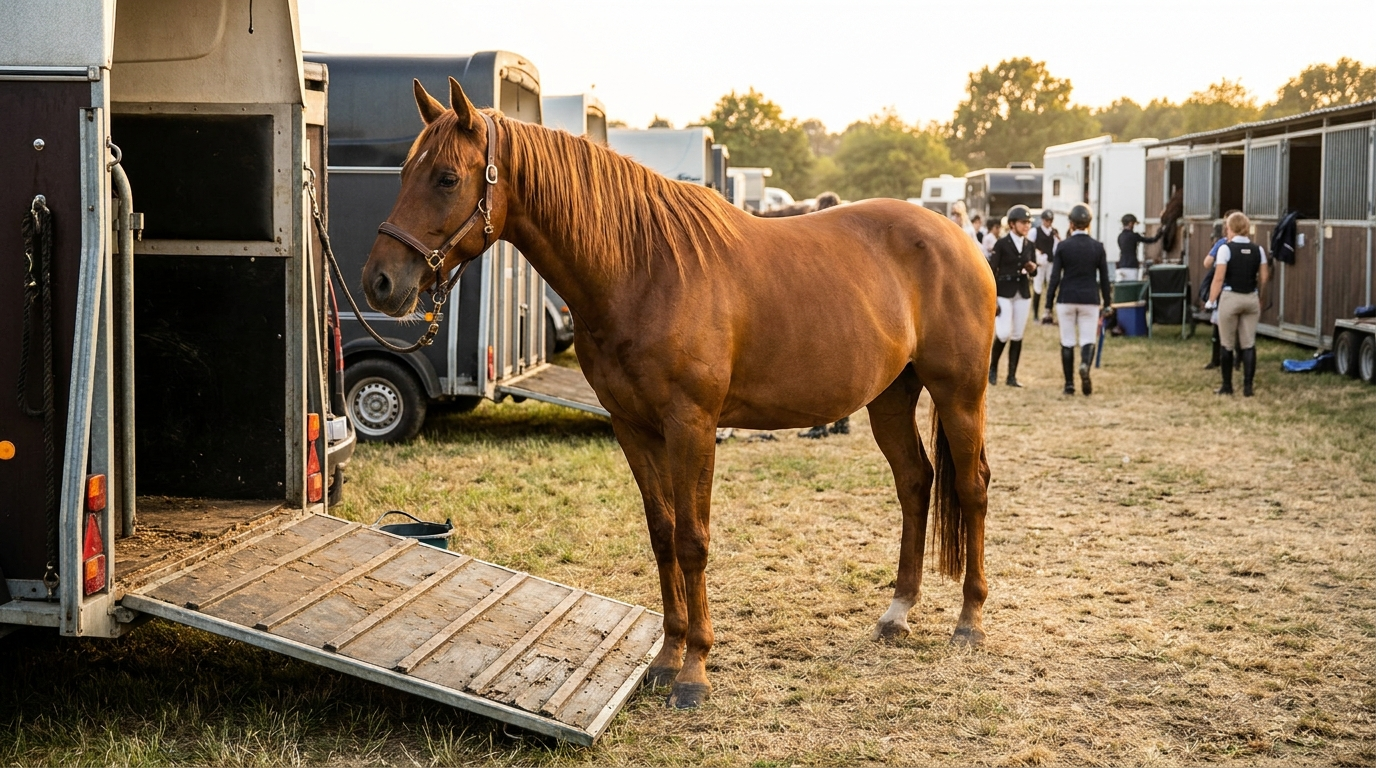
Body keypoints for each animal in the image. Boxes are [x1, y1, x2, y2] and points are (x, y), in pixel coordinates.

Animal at [360, 78, 997, 709]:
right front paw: (667, 658)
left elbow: (693, 539)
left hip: (959, 395)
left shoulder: (692, 425)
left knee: (971, 488)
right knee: (915, 483)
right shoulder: (633, 426)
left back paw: (970, 622)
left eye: (447, 177)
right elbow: (662, 534)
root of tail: (958, 237)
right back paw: (897, 613)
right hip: (890, 398)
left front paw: (695, 671)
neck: (645, 269)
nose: (379, 282)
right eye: (403, 171)